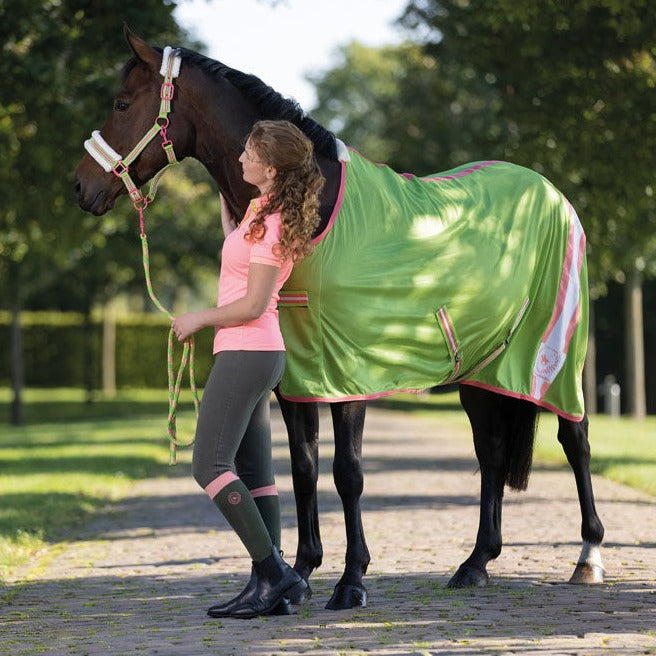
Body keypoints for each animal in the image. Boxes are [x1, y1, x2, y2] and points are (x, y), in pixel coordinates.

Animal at [74, 28, 605, 610]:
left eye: (122, 104)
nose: (80, 186)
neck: (313, 207)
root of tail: (552, 193)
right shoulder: (296, 378)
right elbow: (304, 469)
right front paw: (302, 574)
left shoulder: (348, 374)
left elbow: (347, 473)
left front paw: (351, 581)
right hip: (482, 366)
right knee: (489, 453)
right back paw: (476, 562)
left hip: (556, 357)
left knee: (575, 439)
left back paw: (588, 557)